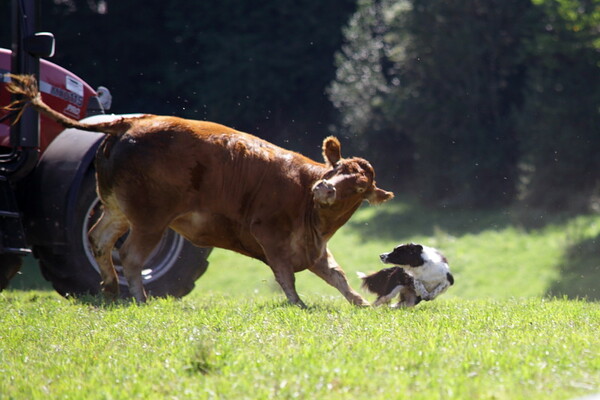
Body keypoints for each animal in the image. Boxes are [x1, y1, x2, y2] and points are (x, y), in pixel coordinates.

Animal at [8, 75, 398, 306]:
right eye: (336, 168)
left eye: (358, 185)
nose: (325, 188)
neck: (304, 197)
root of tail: (131, 122)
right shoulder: (270, 234)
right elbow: (285, 274)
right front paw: (298, 304)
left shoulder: (313, 248)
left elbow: (338, 276)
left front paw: (361, 303)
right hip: (150, 219)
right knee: (130, 254)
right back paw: (139, 296)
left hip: (116, 208)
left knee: (99, 239)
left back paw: (109, 287)